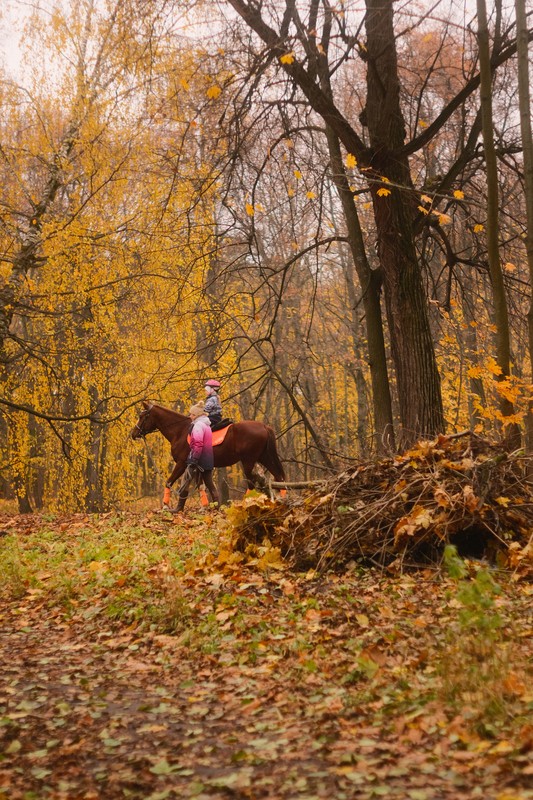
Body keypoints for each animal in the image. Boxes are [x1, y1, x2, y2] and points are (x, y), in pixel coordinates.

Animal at [130, 400, 284, 506]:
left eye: (142, 416)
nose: (133, 433)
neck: (180, 431)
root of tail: (264, 426)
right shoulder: (198, 467)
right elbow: (200, 487)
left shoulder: (182, 464)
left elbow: (169, 483)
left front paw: (166, 506)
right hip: (264, 458)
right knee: (279, 477)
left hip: (248, 461)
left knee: (252, 484)